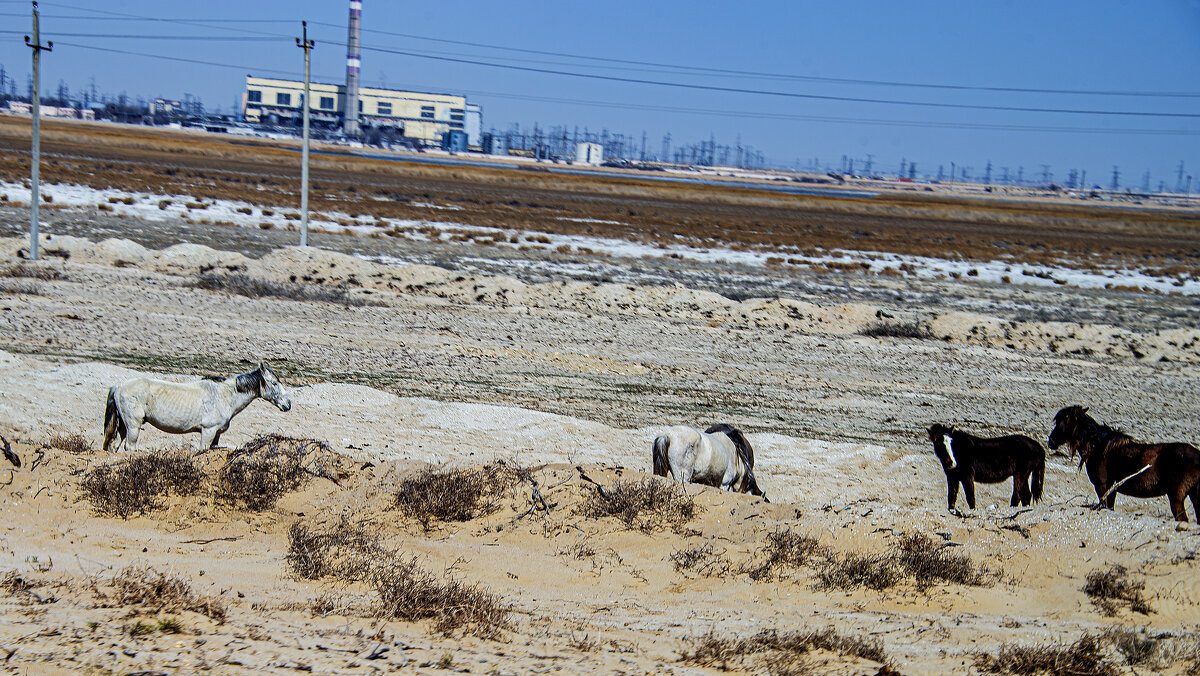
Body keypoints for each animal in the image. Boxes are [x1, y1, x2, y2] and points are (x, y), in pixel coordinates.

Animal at [102, 362, 290, 451]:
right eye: (274, 383)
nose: (287, 405)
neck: (224, 396)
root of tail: (118, 386)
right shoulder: (207, 431)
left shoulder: (216, 435)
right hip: (133, 426)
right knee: (130, 447)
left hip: (123, 427)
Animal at [1041, 408, 1200, 523]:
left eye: (1062, 422)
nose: (1051, 441)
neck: (1097, 446)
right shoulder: (1112, 489)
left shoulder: (1102, 486)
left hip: (1176, 497)